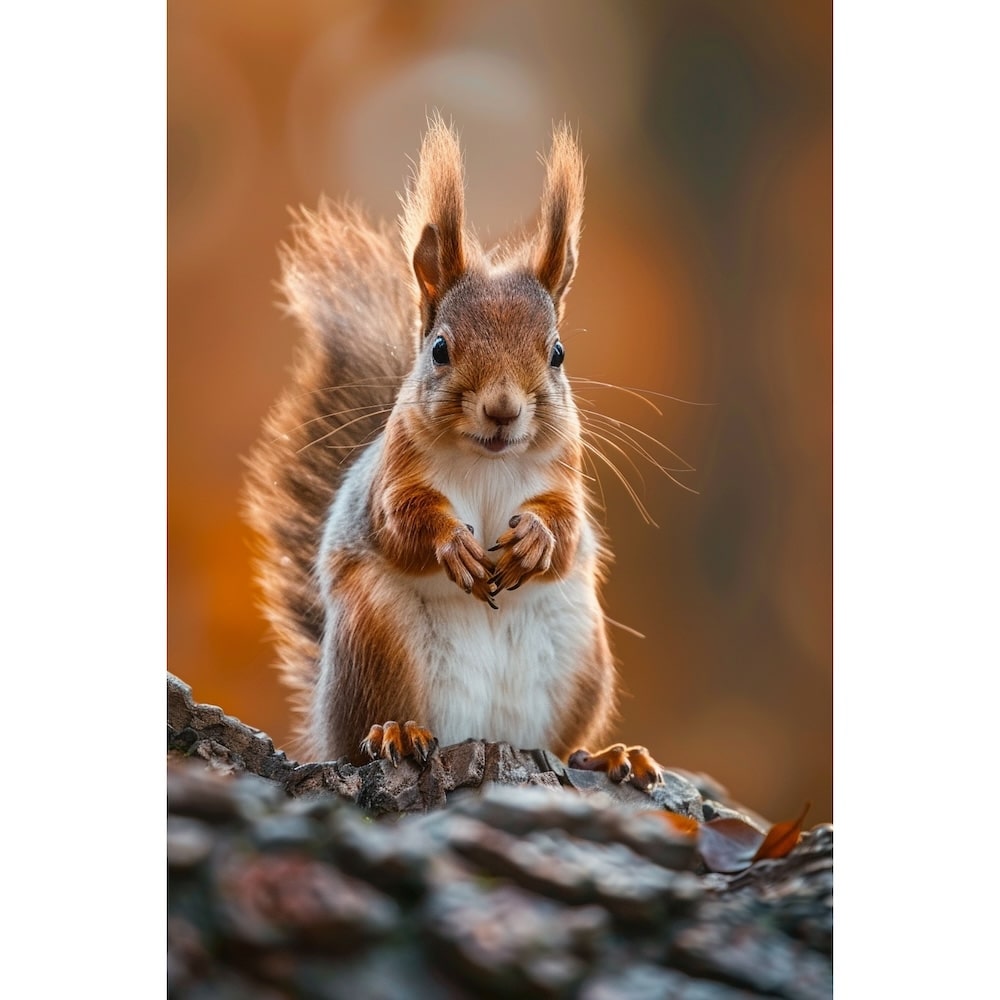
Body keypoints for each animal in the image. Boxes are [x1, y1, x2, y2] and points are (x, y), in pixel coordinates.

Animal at [244, 115, 662, 789]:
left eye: (557, 353)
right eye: (440, 348)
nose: (503, 409)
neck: (488, 461)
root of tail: (485, 732)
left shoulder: (564, 473)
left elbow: (568, 528)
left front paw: (534, 541)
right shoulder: (394, 474)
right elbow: (400, 522)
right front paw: (454, 547)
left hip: (581, 656)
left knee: (563, 743)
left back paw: (609, 756)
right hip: (375, 638)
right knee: (363, 737)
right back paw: (397, 732)